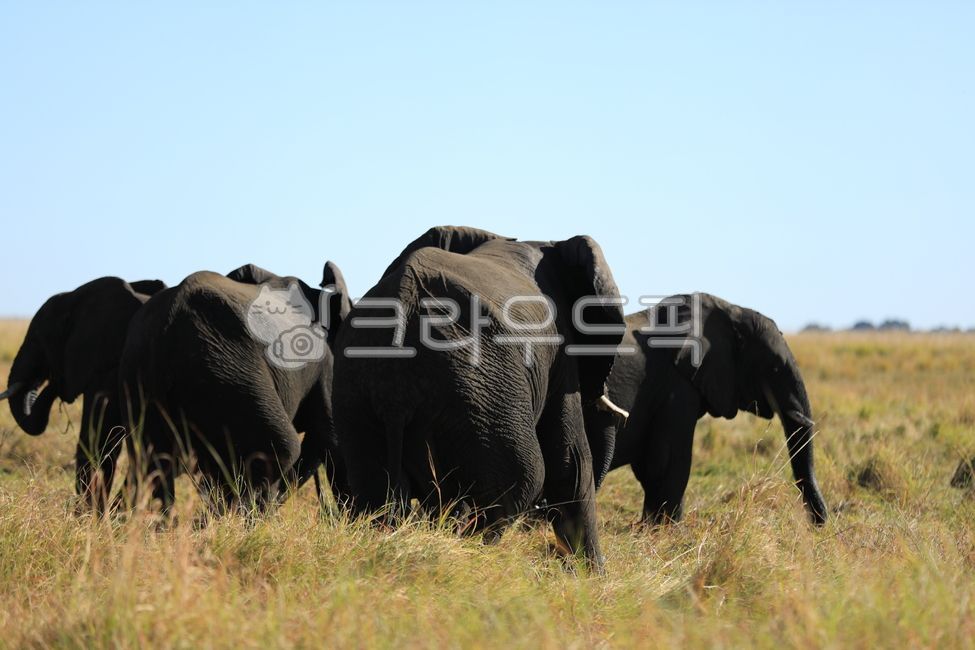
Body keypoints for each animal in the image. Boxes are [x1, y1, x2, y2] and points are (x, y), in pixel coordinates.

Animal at [118, 262, 351, 513]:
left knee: (151, 463)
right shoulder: (324, 363)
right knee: (279, 448)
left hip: (142, 381)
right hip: (226, 371)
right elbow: (330, 435)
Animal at [332, 226, 628, 568]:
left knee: (375, 489)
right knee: (521, 479)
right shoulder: (560, 351)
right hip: (477, 388)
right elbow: (571, 461)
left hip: (358, 390)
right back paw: (470, 556)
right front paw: (593, 576)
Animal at [596, 293, 828, 525]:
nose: (819, 523)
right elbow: (668, 464)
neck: (731, 311)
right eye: (775, 366)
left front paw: (650, 527)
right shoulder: (677, 387)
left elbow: (651, 467)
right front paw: (668, 529)